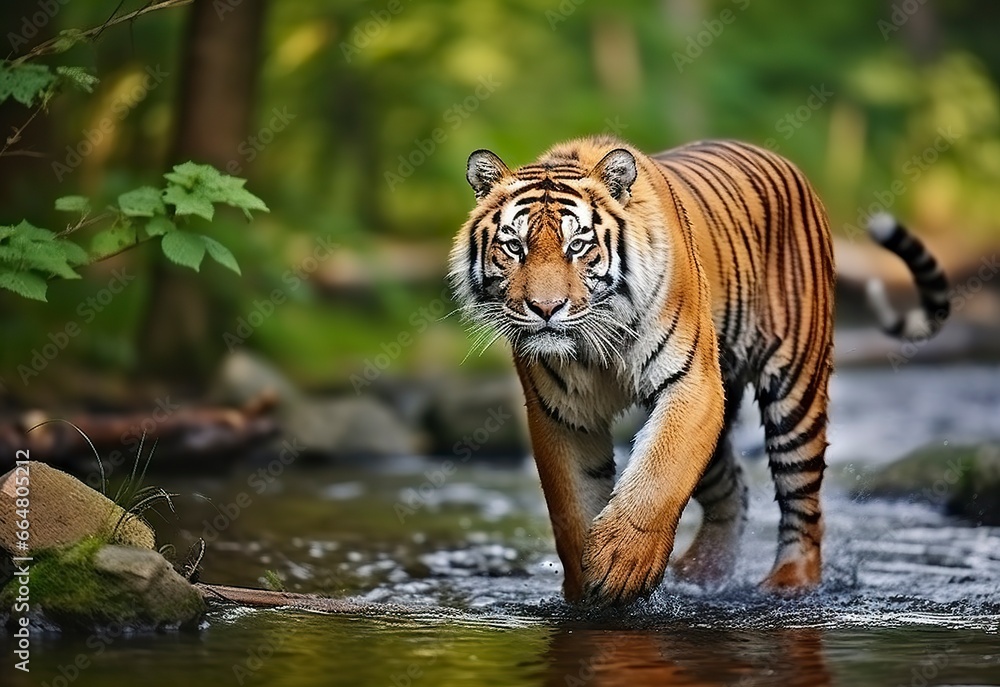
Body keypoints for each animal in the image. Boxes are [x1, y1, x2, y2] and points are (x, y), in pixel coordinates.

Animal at [450, 136, 948, 608]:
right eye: (514, 246)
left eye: (578, 246)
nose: (546, 308)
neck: (597, 340)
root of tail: (776, 157)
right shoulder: (562, 414)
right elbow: (572, 506)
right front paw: (585, 591)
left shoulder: (693, 385)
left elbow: (658, 477)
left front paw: (621, 564)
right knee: (733, 490)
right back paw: (703, 574)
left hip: (795, 391)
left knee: (803, 501)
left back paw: (789, 583)